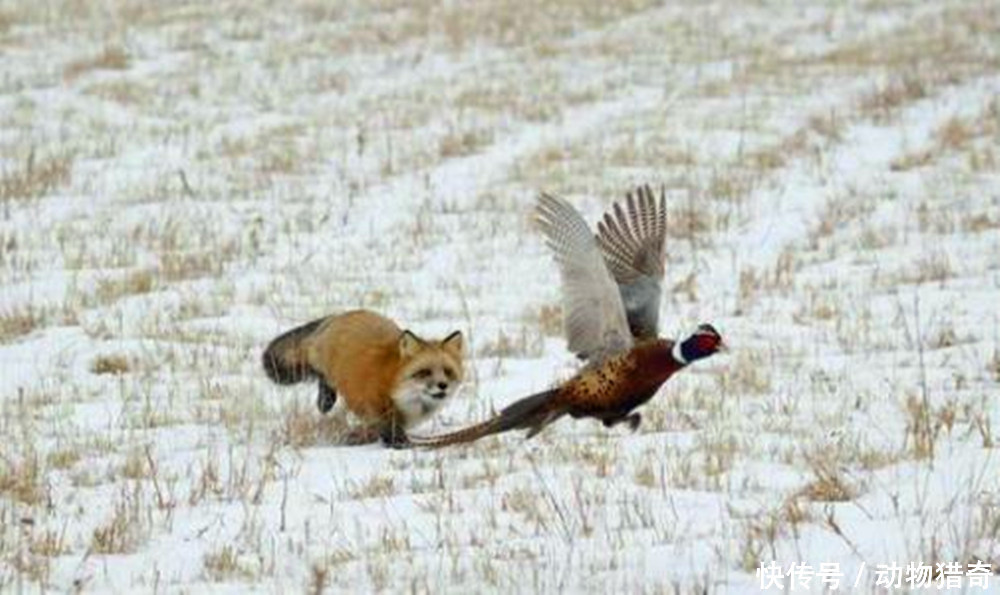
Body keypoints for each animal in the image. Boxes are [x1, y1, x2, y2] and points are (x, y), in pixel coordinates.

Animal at [266, 312, 468, 448]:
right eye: (425, 372)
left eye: (448, 372)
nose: (442, 386)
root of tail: (339, 315)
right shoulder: (372, 406)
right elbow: (385, 428)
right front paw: (397, 444)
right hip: (326, 367)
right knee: (323, 377)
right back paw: (325, 401)